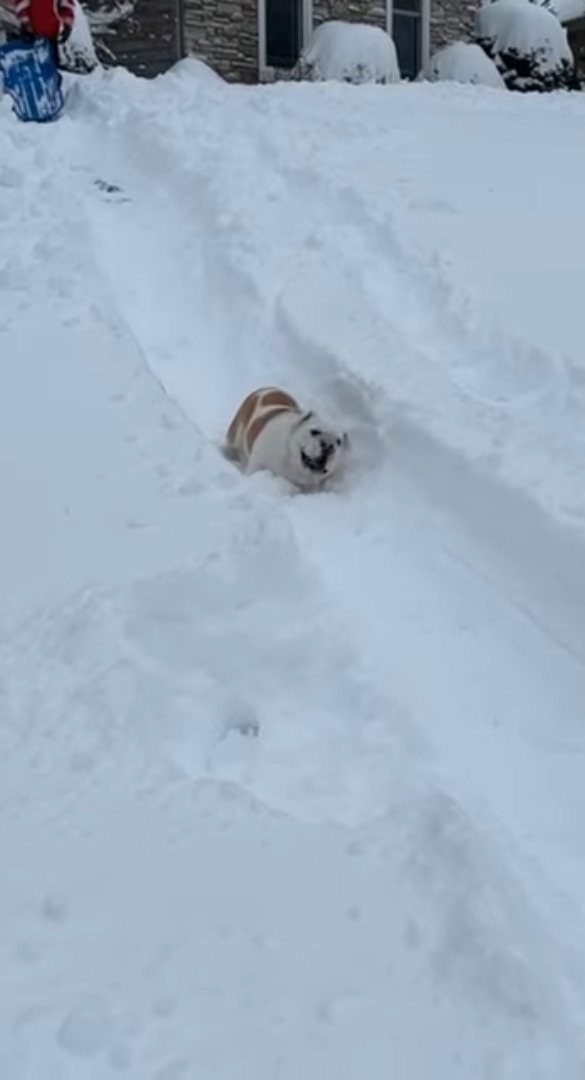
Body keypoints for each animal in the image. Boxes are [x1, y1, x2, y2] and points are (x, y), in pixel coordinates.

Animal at [223, 388, 351, 490]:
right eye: (314, 432)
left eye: (338, 441)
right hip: (234, 436)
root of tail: (268, 388)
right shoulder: (257, 466)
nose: (329, 444)